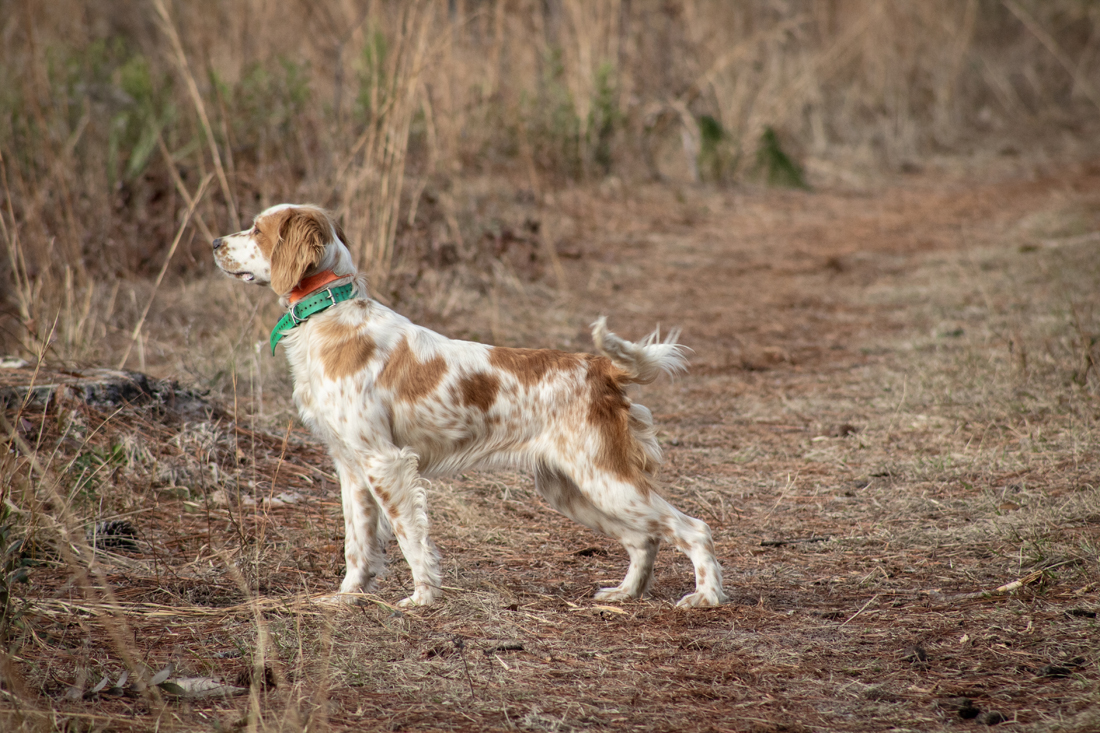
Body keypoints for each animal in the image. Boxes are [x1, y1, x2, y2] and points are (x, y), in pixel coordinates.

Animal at [212, 203, 730, 603]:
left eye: (256, 229)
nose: (215, 241)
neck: (332, 314)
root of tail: (602, 367)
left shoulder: (386, 463)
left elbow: (410, 537)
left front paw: (422, 597)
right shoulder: (351, 467)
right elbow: (357, 544)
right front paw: (347, 597)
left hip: (606, 480)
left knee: (693, 528)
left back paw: (705, 597)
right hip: (572, 488)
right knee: (644, 537)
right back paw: (625, 594)